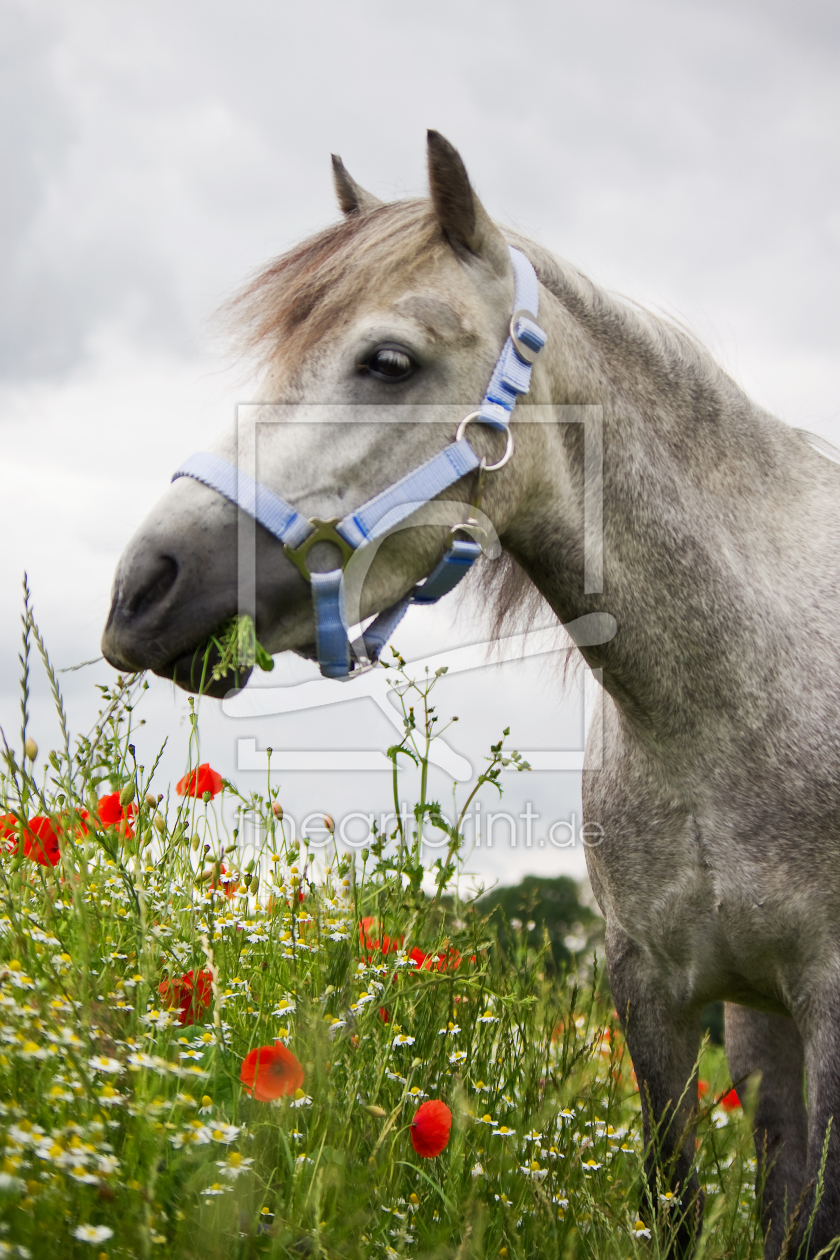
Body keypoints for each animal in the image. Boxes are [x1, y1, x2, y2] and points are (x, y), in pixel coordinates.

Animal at [102, 132, 840, 1254]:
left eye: (389, 361)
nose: (144, 589)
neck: (732, 702)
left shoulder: (830, 994)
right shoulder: (655, 991)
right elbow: (682, 1201)